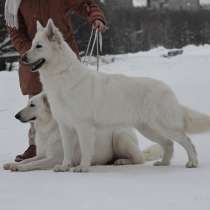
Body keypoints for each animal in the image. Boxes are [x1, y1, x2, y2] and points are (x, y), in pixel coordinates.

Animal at [4, 92, 163, 171]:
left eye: (32, 105)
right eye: (27, 104)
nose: (16, 115)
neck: (49, 128)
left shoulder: (55, 158)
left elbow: (32, 164)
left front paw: (20, 167)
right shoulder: (43, 154)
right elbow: (30, 159)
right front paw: (12, 164)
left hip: (119, 136)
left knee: (139, 159)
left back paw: (122, 161)